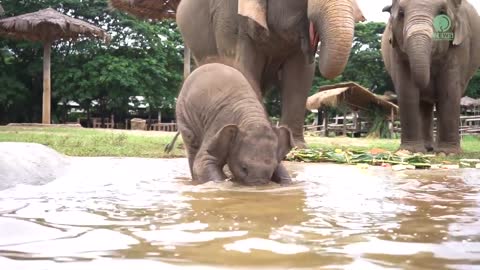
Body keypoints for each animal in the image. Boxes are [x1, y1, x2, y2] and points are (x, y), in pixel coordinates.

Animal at [382, 0, 480, 154]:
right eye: (401, 14)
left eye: (442, 12)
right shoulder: (396, 48)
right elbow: (406, 89)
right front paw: (409, 152)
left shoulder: (461, 45)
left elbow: (449, 89)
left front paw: (447, 153)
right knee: (424, 106)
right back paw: (428, 148)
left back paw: (436, 149)